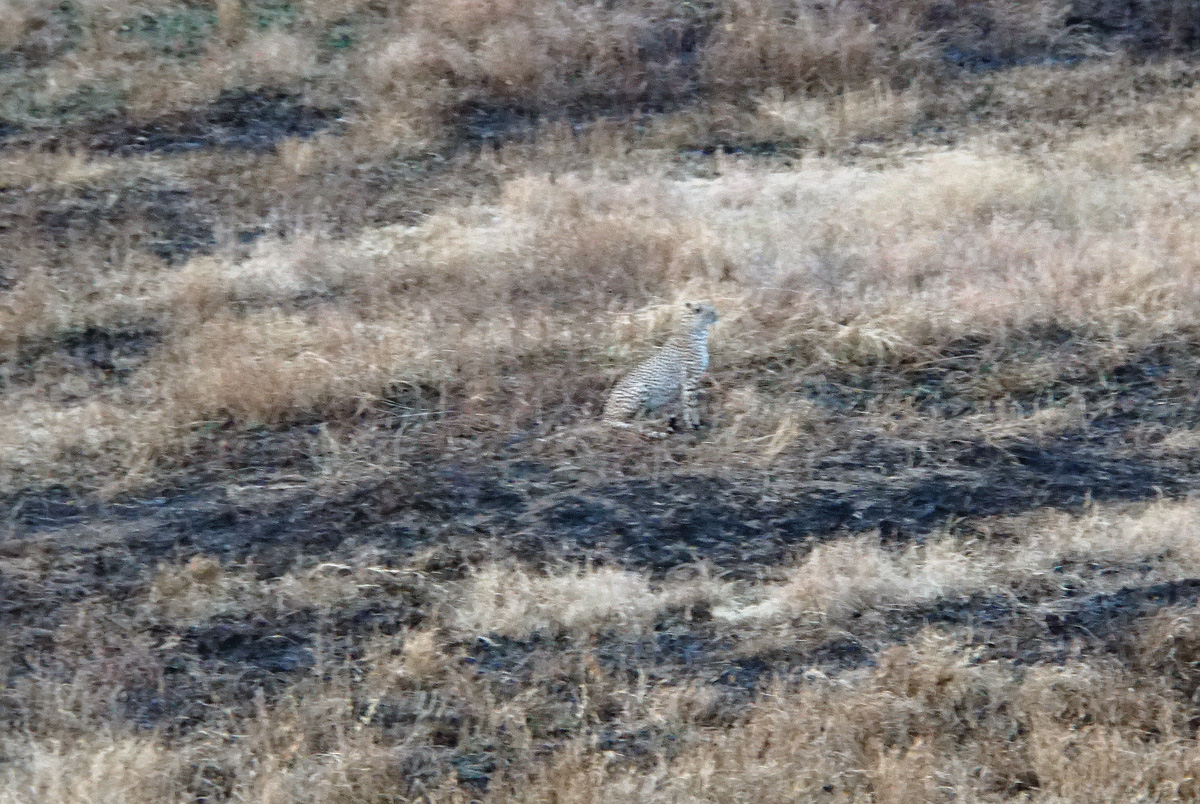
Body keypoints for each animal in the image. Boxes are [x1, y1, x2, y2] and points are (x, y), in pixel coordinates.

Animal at [602, 302, 719, 438]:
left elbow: (686, 404)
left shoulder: (688, 382)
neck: (695, 330)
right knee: (633, 421)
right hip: (640, 388)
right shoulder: (690, 379)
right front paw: (694, 425)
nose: (717, 316)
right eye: (711, 312)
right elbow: (692, 404)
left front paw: (690, 424)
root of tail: (606, 412)